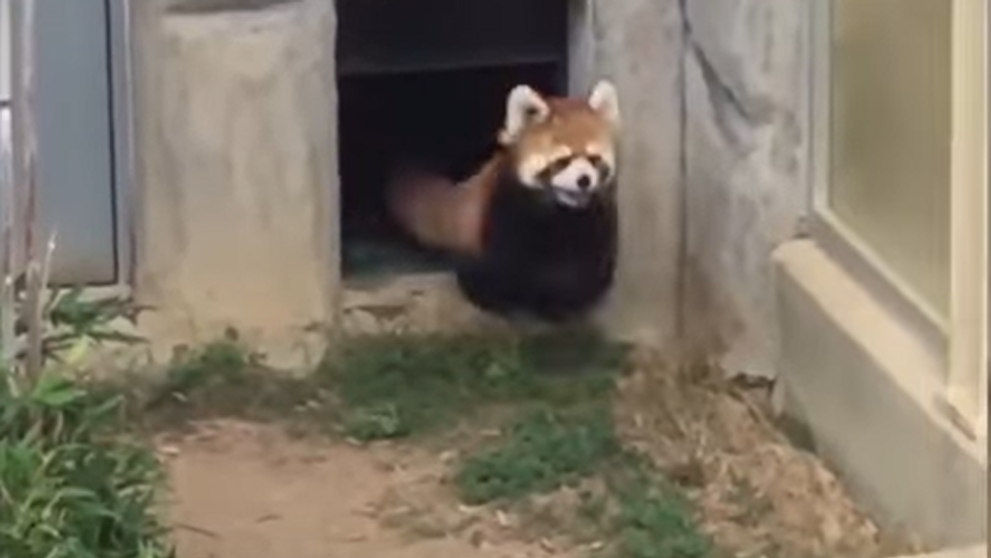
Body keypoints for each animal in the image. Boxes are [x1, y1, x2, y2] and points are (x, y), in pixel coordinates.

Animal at [386, 80, 621, 323]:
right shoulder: (504, 219)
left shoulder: (591, 226)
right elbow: (502, 268)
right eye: (562, 161)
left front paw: (560, 305)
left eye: (594, 159)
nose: (584, 180)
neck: (558, 215)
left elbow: (583, 270)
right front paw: (501, 303)